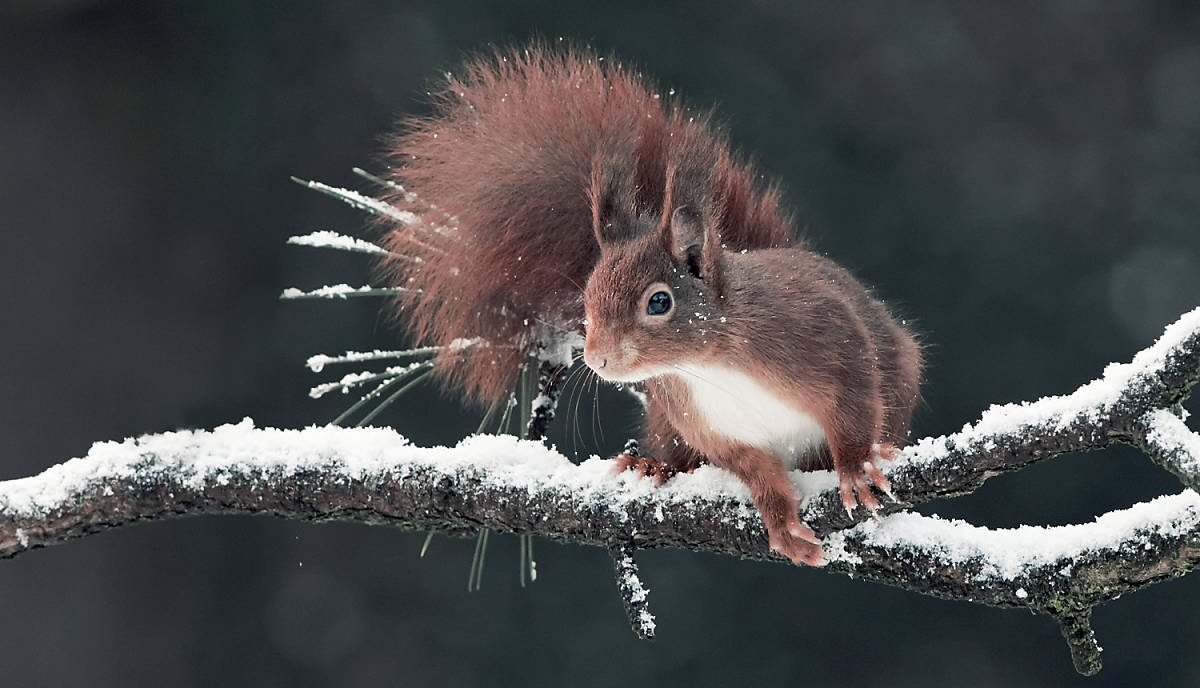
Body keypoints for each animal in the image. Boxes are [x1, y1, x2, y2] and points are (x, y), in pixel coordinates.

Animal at [379, 44, 921, 569]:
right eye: (587, 296)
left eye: (659, 301)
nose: (597, 359)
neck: (711, 363)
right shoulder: (711, 428)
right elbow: (756, 473)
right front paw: (781, 522)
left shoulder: (824, 337)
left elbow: (853, 402)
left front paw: (854, 467)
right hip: (667, 422)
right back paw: (654, 464)